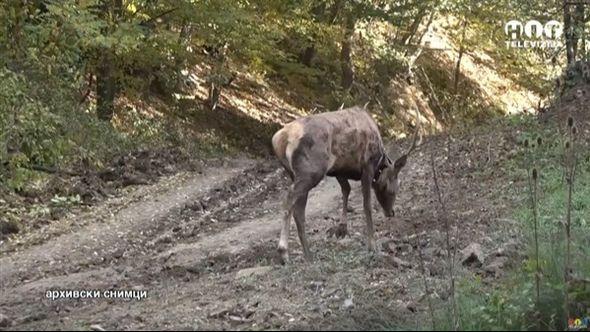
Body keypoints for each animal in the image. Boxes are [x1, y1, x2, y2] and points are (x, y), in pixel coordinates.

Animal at [272, 105, 420, 264]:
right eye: (394, 188)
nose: (391, 212)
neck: (379, 162)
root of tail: (279, 140)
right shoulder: (366, 166)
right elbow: (367, 206)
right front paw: (372, 245)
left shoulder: (339, 170)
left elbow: (346, 189)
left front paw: (342, 229)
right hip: (310, 171)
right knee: (288, 199)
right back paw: (283, 252)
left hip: (295, 174)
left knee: (299, 210)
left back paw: (308, 255)